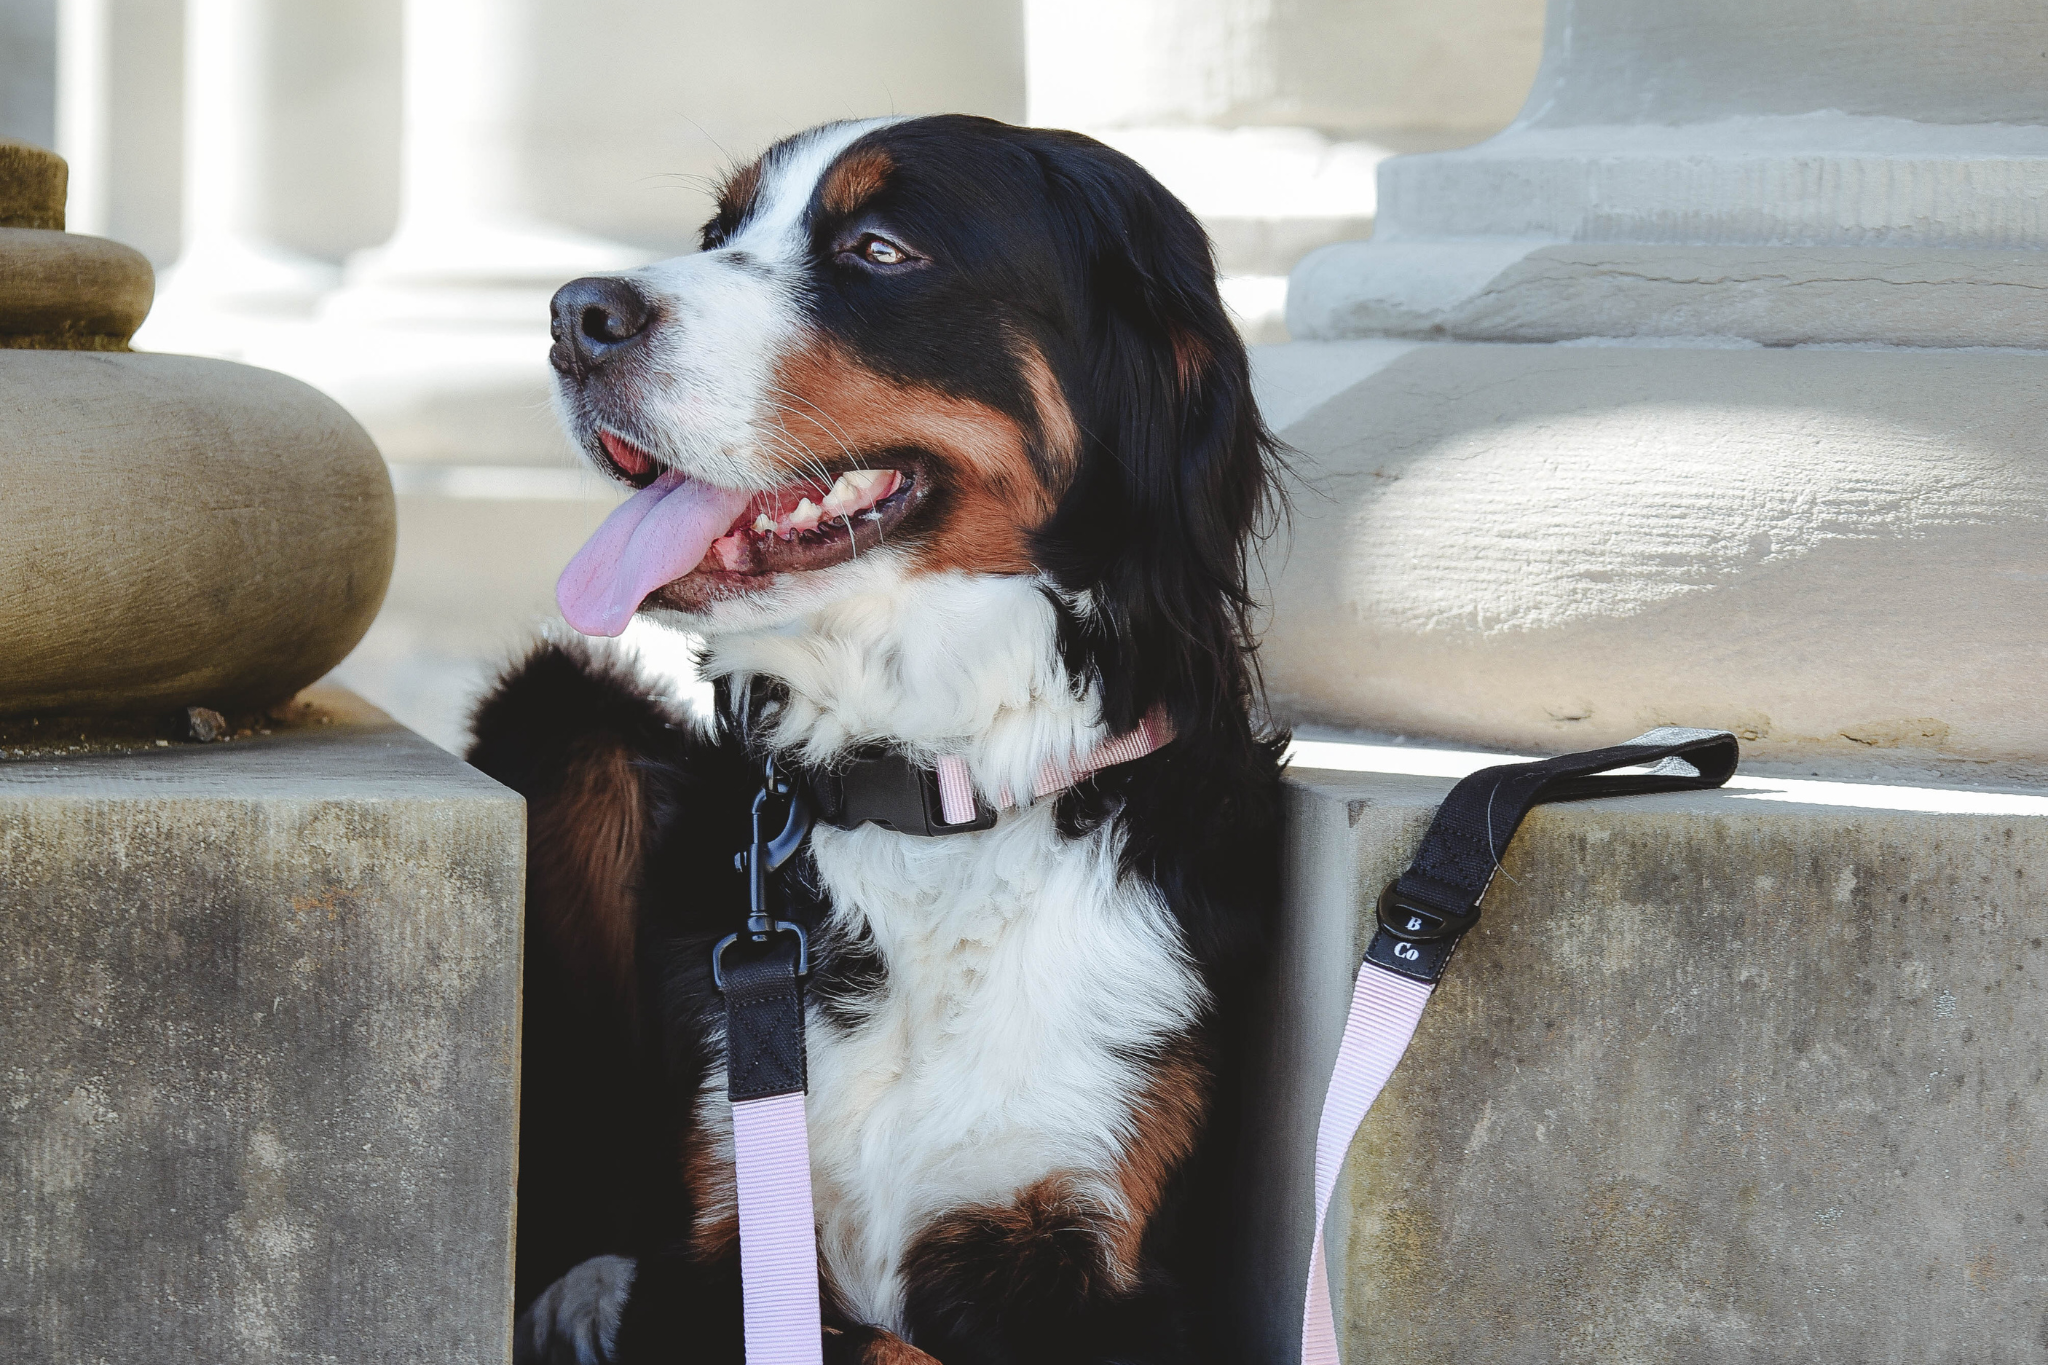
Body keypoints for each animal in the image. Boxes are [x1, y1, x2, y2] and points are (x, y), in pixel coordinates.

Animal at [471, 112, 1286, 1358]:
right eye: (720, 230)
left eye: (878, 249)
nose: (573, 315)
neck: (934, 790)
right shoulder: (718, 1246)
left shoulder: (1105, 1255)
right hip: (564, 714)